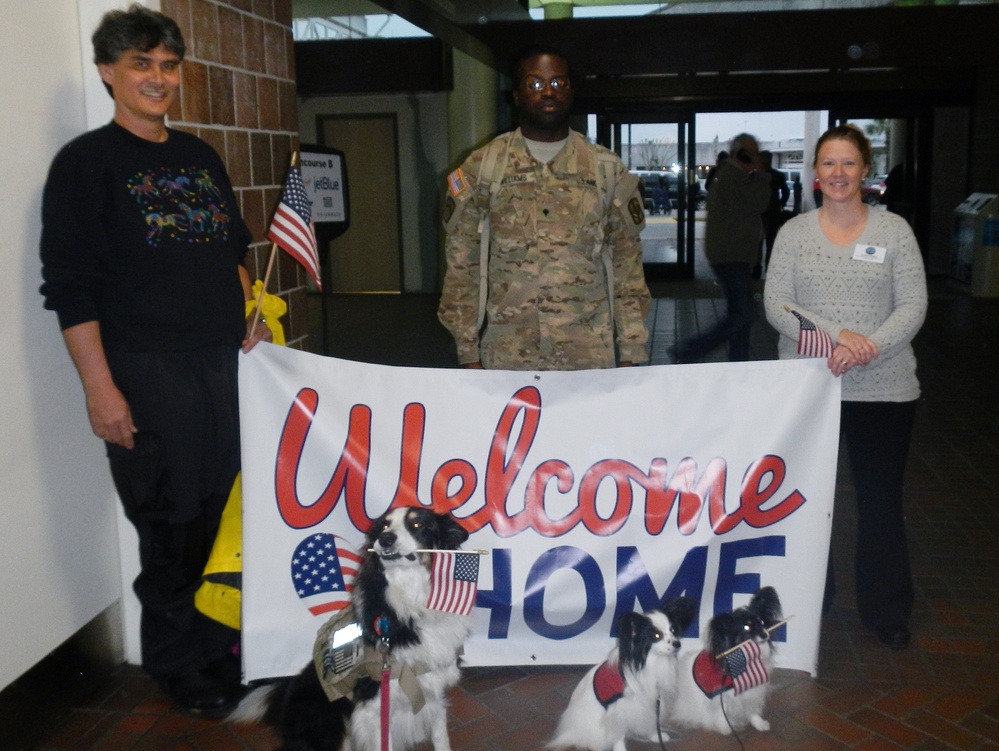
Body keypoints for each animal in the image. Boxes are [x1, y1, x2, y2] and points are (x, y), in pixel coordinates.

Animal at [552, 600, 700, 751]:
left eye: (673, 630)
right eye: (656, 635)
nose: (677, 643)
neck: (650, 662)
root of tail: (569, 732)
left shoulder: (652, 700)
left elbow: (652, 720)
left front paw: (655, 736)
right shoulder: (619, 709)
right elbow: (618, 734)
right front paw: (620, 749)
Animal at [672, 588, 780, 736]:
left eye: (762, 622)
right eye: (746, 627)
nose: (764, 634)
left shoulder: (751, 691)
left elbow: (751, 709)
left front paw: (758, 723)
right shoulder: (720, 696)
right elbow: (720, 713)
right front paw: (725, 727)